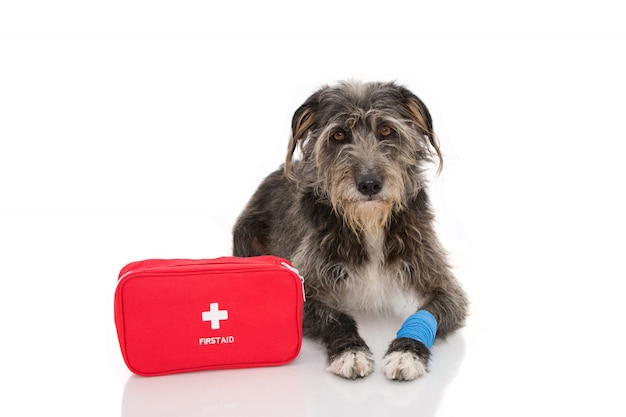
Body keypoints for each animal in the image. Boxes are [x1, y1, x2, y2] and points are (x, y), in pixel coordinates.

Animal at [232, 81, 466, 380]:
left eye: (386, 130)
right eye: (339, 134)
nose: (369, 184)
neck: (369, 222)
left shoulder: (445, 287)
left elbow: (428, 311)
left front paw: (406, 353)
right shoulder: (303, 287)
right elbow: (337, 316)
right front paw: (351, 352)